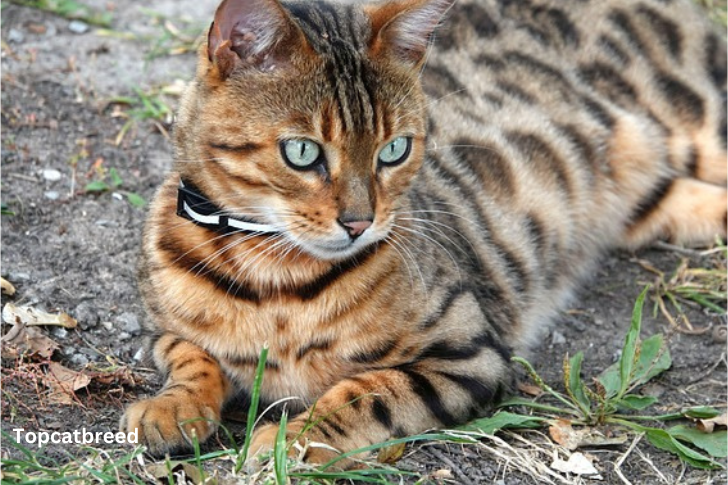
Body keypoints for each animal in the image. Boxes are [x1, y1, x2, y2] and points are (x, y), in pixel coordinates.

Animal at [121, 0, 728, 464]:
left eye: (394, 149)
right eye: (302, 152)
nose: (360, 222)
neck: (273, 275)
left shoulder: (468, 352)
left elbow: (363, 394)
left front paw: (287, 442)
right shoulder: (159, 328)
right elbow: (188, 355)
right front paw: (171, 408)